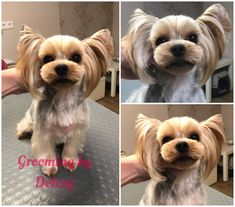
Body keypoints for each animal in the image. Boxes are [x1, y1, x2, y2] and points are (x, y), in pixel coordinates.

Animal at [16, 25, 113, 175]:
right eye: (47, 58)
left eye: (76, 57)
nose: (61, 67)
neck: (64, 96)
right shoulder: (43, 133)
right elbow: (46, 151)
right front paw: (49, 167)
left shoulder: (77, 130)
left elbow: (71, 147)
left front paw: (70, 161)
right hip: (29, 119)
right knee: (24, 124)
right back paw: (22, 132)